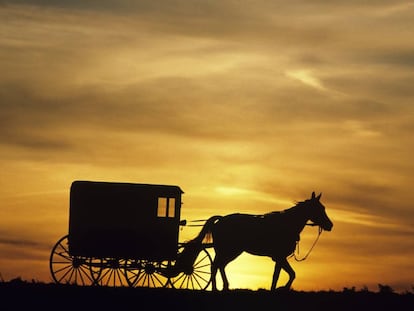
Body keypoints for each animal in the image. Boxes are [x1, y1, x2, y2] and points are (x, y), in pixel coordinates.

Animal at [188, 191, 334, 292]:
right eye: (320, 208)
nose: (330, 225)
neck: (287, 224)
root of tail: (221, 219)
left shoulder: (279, 258)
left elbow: (289, 274)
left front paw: (279, 288)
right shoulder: (280, 257)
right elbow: (282, 275)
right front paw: (281, 288)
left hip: (229, 251)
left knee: (219, 266)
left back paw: (223, 287)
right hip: (229, 251)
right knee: (215, 266)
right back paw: (216, 288)